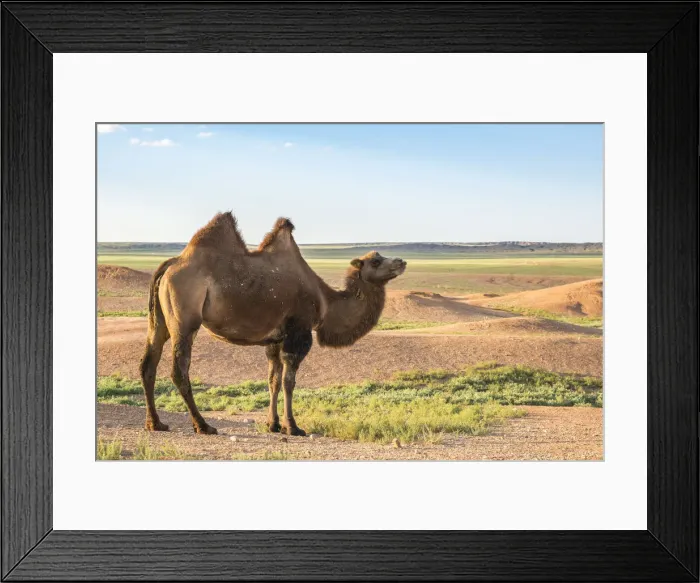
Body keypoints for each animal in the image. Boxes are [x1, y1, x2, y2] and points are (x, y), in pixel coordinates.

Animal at [139, 212, 407, 436]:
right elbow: (289, 381)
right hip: (185, 320)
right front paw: (293, 427)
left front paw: (273, 424)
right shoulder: (298, 332)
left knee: (148, 364)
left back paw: (156, 423)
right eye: (375, 262)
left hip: (159, 322)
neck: (326, 301)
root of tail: (171, 264)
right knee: (179, 370)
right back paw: (203, 425)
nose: (401, 261)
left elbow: (273, 380)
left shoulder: (275, 339)